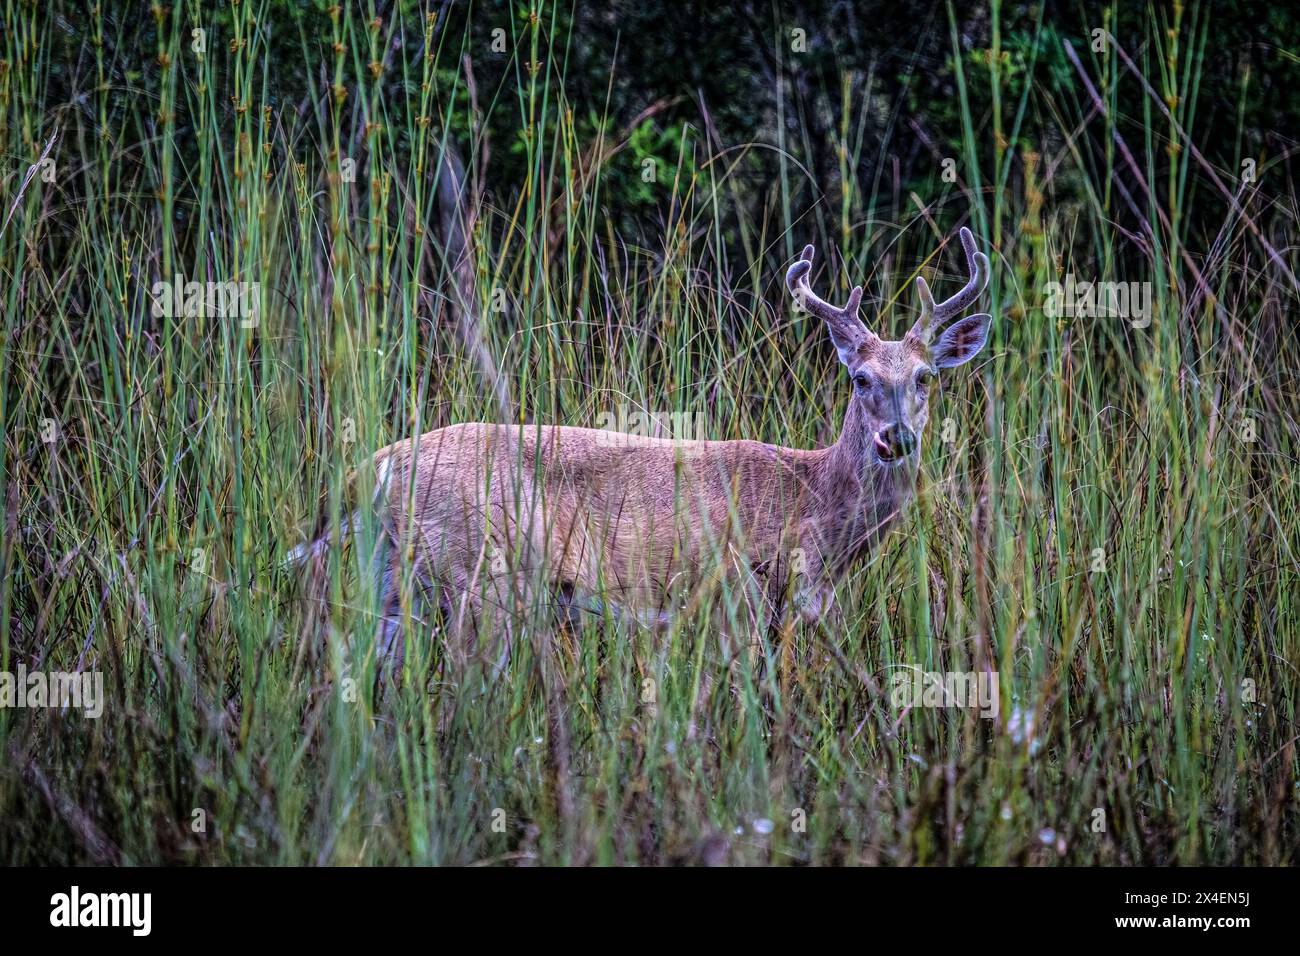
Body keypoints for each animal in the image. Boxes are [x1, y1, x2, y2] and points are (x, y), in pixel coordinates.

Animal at [299, 227, 987, 671]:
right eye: (860, 379)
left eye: (925, 377)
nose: (896, 438)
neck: (813, 501)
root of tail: (376, 466)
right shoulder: (739, 596)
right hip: (477, 577)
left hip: (392, 580)